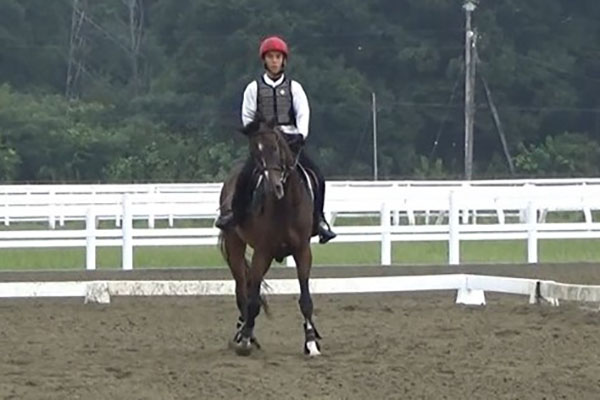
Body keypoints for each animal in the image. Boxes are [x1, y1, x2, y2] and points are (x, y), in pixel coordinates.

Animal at [218, 117, 321, 357]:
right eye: (255, 152)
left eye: (276, 148)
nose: (275, 187)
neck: (285, 205)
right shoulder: (262, 252)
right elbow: (253, 300)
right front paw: (245, 339)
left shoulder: (303, 251)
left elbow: (306, 300)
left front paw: (311, 343)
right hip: (235, 245)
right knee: (242, 290)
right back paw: (245, 333)